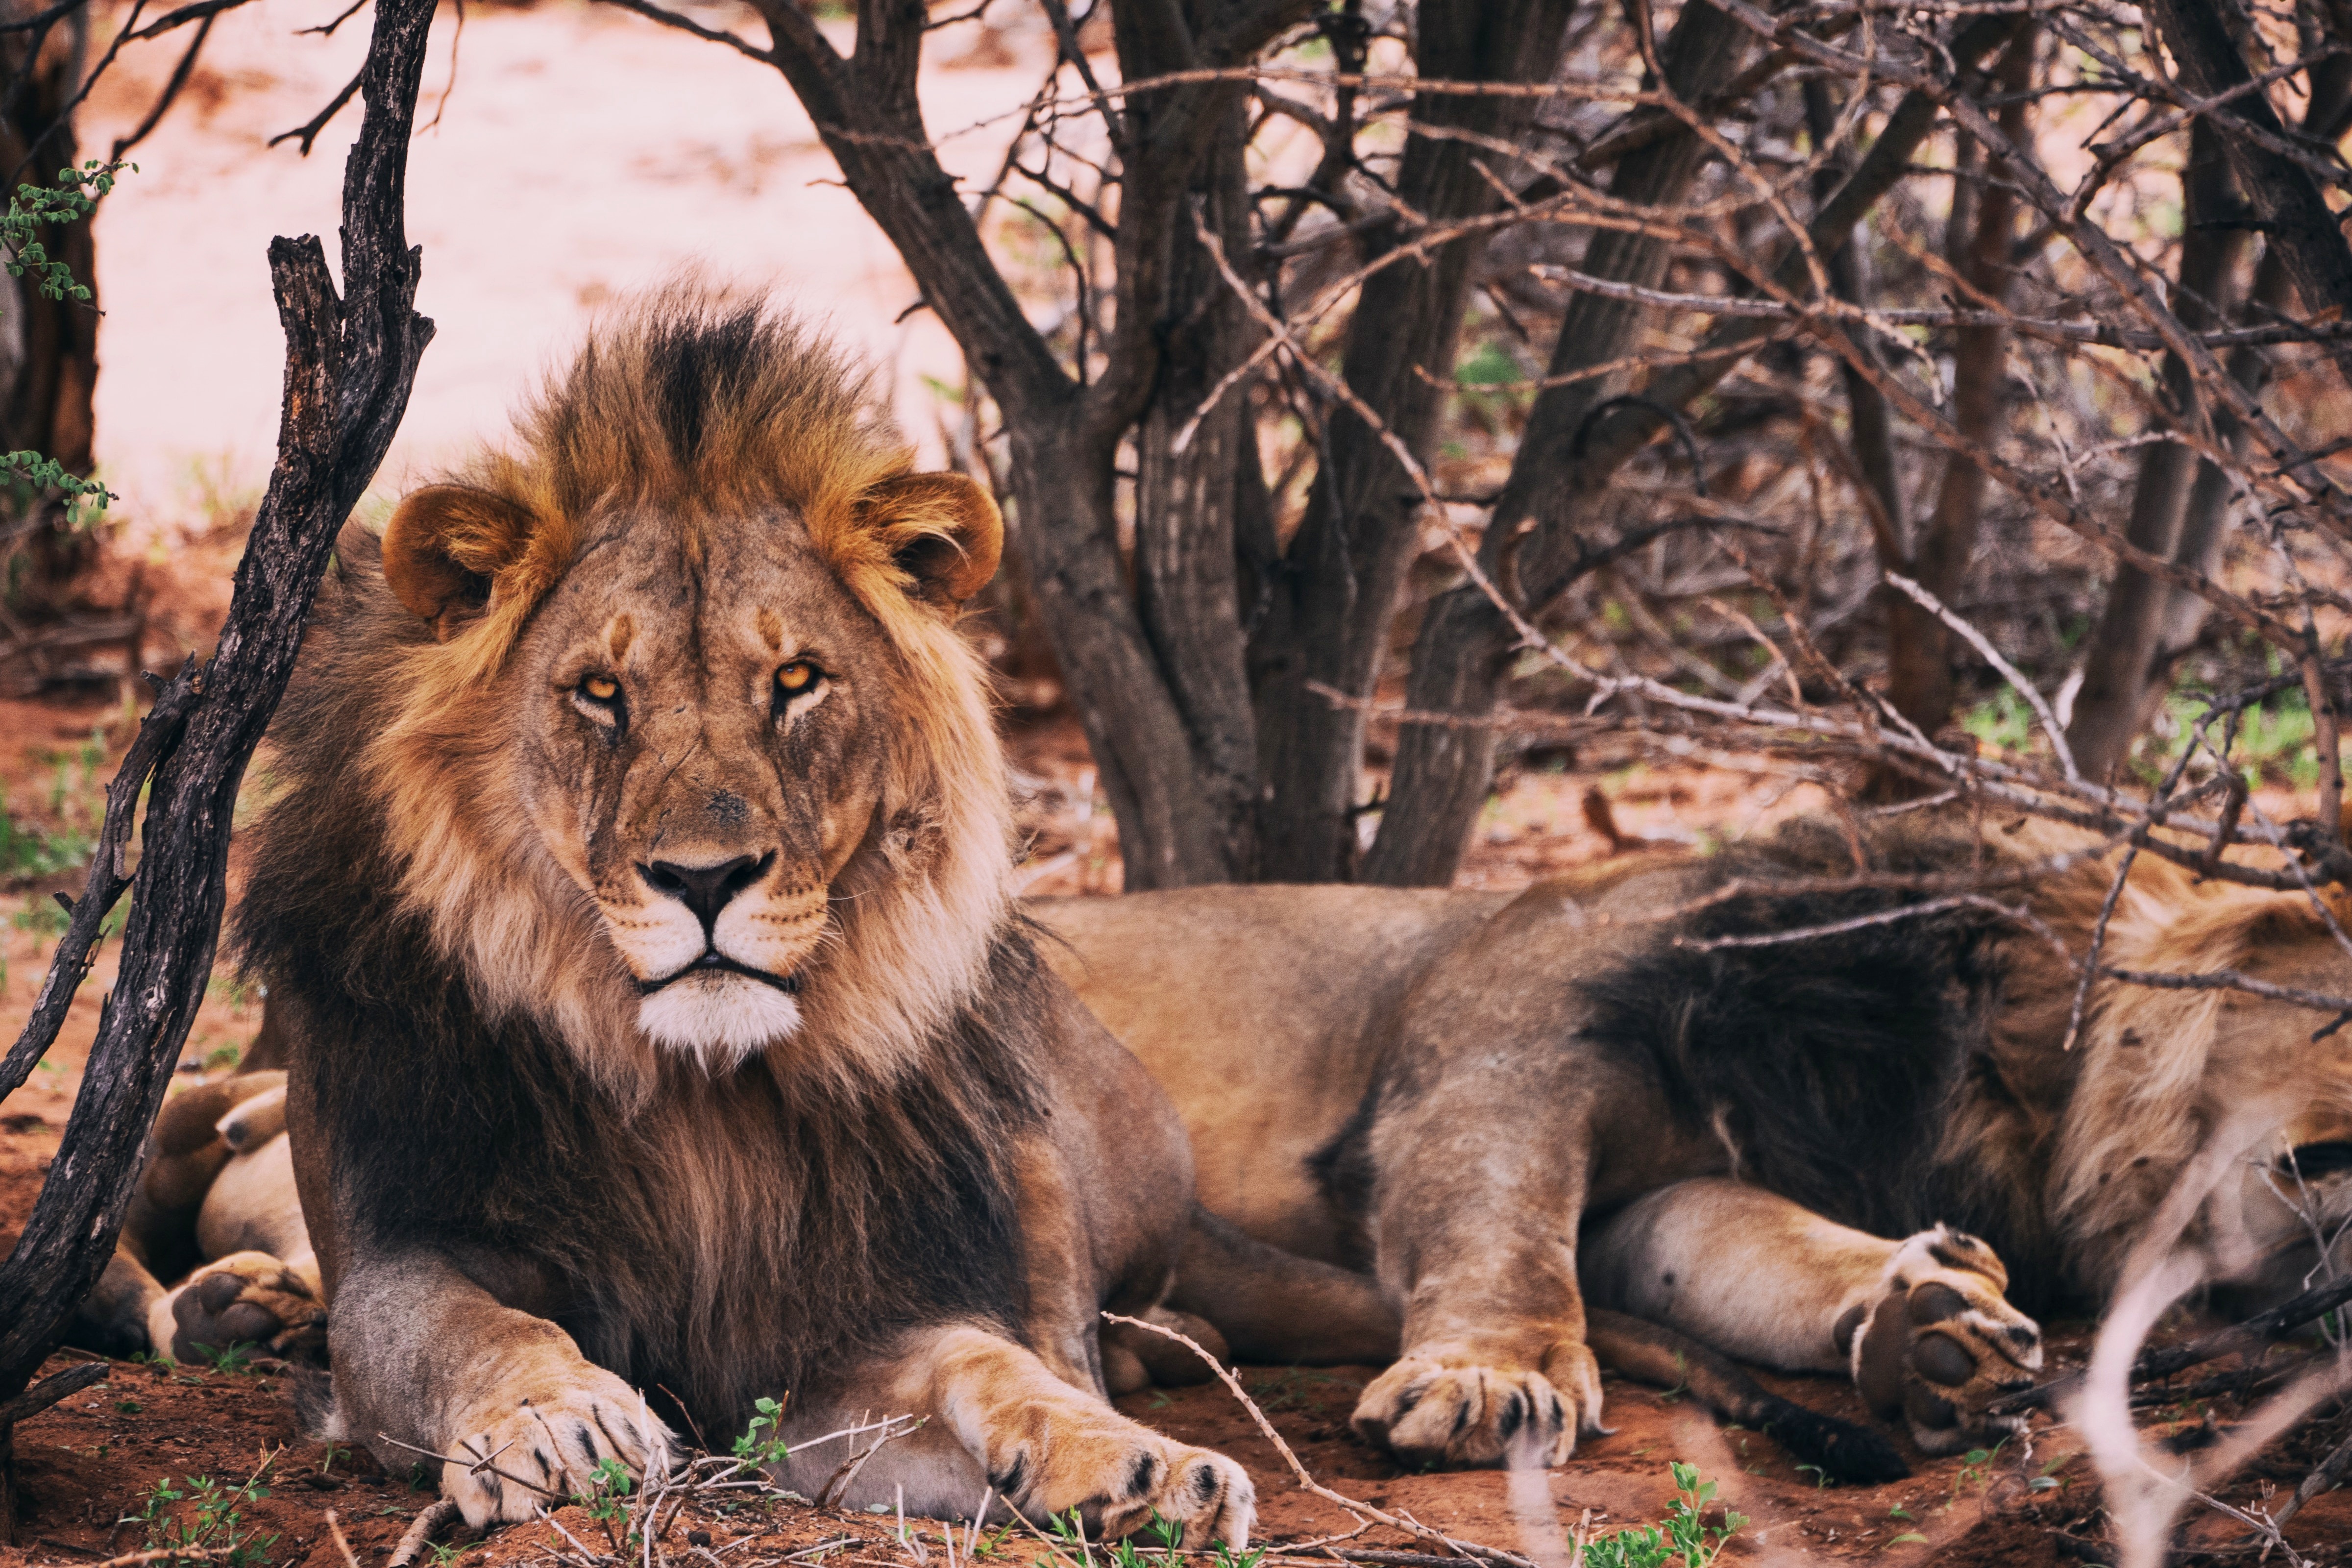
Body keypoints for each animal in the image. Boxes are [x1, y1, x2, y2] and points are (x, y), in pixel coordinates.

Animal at [87, 301, 1411, 1542]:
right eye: (600, 693)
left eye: (796, 682)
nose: (707, 878)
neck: (696, 1105)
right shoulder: (398, 1248)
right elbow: (474, 1327)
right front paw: (559, 1419)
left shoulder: (849, 1329)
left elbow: (990, 1358)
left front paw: (1136, 1464)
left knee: (1075, 1316)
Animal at [1039, 823, 2352, 1476]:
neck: (2019, 1084)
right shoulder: (1508, 1031)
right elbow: (1503, 1221)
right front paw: (1493, 1377)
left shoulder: (1682, 1183)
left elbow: (1743, 1247)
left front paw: (1938, 1329)